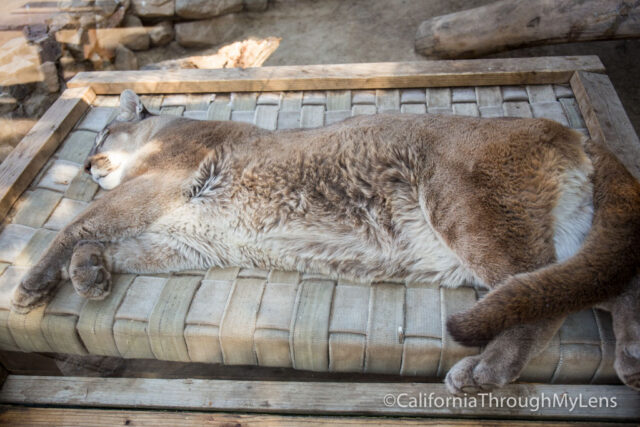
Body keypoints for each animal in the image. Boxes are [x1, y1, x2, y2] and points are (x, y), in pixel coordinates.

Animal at [10, 90, 640, 394]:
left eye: (102, 135)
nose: (85, 165)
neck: (161, 134)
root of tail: (572, 129)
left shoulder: (160, 187)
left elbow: (79, 223)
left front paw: (33, 283)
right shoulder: (188, 239)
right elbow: (118, 246)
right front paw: (90, 271)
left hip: (466, 210)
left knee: (542, 296)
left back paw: (485, 372)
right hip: (573, 239)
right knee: (596, 284)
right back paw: (632, 357)